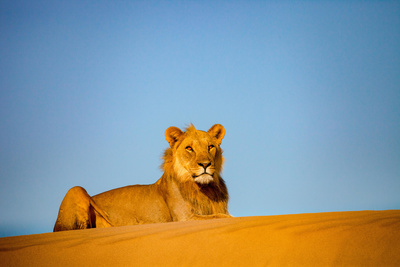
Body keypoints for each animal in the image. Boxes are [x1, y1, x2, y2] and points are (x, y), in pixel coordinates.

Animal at [53, 124, 230, 231]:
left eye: (210, 146)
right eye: (189, 148)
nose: (205, 164)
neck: (204, 189)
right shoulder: (183, 218)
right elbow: (221, 217)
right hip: (76, 190)